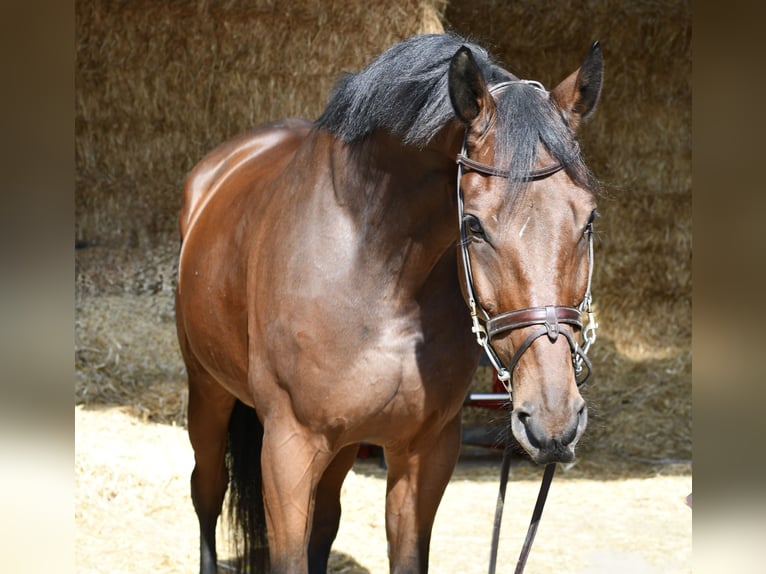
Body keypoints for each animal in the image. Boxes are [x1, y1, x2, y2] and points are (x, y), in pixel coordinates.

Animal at [175, 33, 603, 573]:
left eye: (589, 219)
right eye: (473, 225)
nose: (553, 421)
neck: (378, 276)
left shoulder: (426, 451)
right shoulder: (288, 449)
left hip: (342, 445)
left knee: (325, 519)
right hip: (208, 391)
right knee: (207, 492)